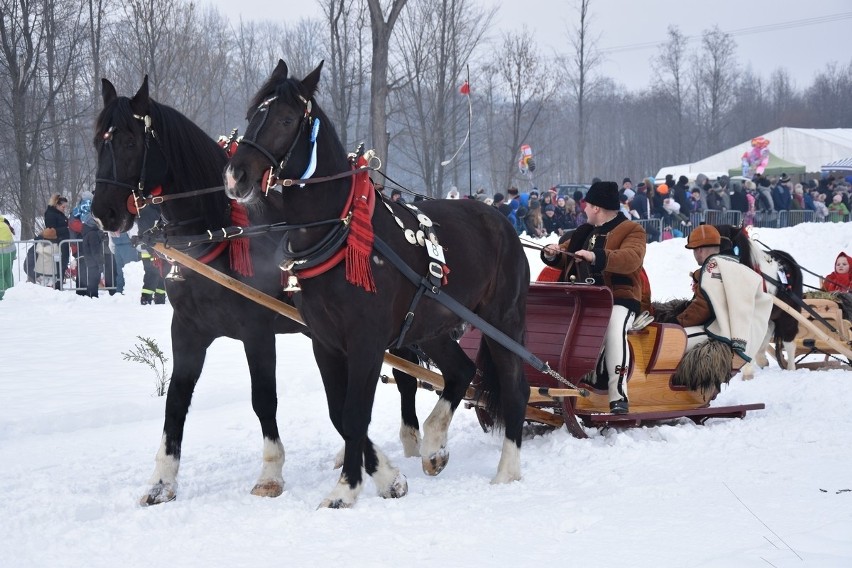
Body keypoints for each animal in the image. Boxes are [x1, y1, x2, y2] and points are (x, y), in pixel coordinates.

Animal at [90, 76, 308, 506]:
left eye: (129, 142)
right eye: (97, 142)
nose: (102, 212)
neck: (220, 231)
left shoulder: (258, 331)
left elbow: (264, 398)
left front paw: (270, 473)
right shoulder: (188, 330)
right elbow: (176, 399)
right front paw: (161, 480)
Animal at [223, 60, 528, 508]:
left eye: (284, 119)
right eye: (250, 115)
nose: (235, 176)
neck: (339, 233)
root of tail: (501, 220)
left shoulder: (366, 340)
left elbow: (354, 414)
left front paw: (346, 489)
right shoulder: (326, 341)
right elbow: (339, 413)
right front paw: (387, 477)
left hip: (502, 321)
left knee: (514, 388)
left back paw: (507, 471)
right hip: (431, 326)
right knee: (462, 371)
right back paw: (434, 445)